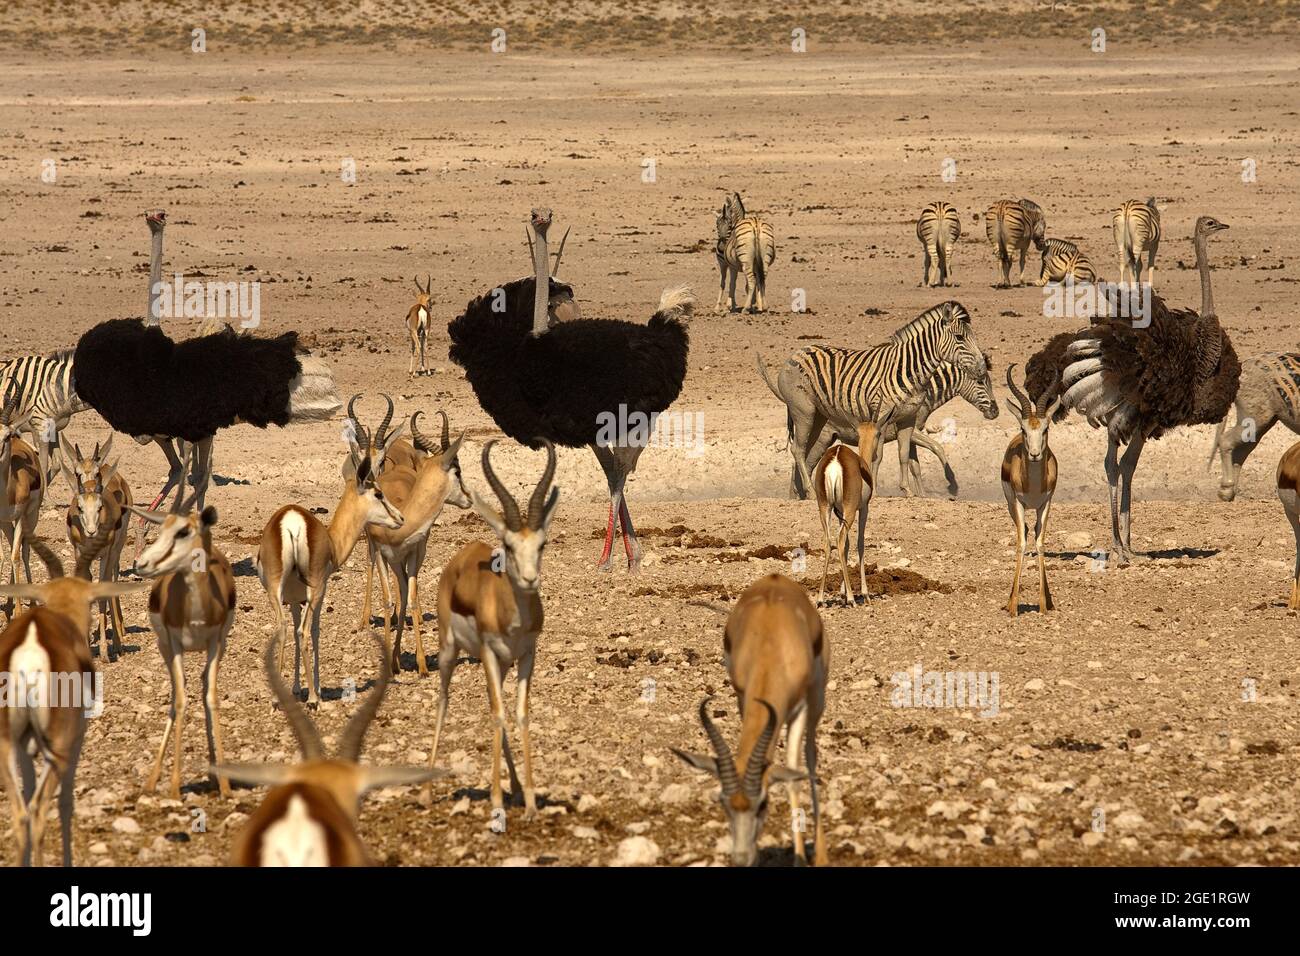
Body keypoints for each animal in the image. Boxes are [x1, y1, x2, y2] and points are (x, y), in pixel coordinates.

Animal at [755, 301, 988, 497]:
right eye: (959, 338)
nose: (981, 368)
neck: (908, 370)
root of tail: (797, 352)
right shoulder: (882, 416)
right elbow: (880, 455)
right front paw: (874, 490)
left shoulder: (907, 420)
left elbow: (904, 455)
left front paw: (908, 492)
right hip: (804, 413)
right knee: (798, 450)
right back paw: (810, 493)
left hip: (818, 420)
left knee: (803, 455)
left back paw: (800, 494)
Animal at [1208, 351, 1300, 501]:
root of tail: (1243, 363)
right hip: (1255, 418)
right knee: (1226, 441)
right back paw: (1226, 489)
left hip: (1260, 422)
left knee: (1240, 452)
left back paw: (1230, 492)